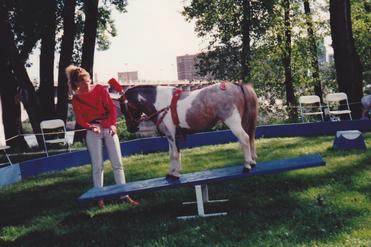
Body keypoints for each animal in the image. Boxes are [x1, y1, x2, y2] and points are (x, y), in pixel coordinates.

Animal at [109, 79, 258, 179]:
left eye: (123, 108)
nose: (131, 128)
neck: (161, 103)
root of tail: (237, 85)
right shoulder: (171, 135)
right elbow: (172, 153)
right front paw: (172, 172)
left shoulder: (170, 134)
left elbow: (175, 154)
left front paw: (175, 174)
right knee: (249, 137)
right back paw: (252, 161)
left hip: (233, 122)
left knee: (245, 138)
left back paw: (247, 165)